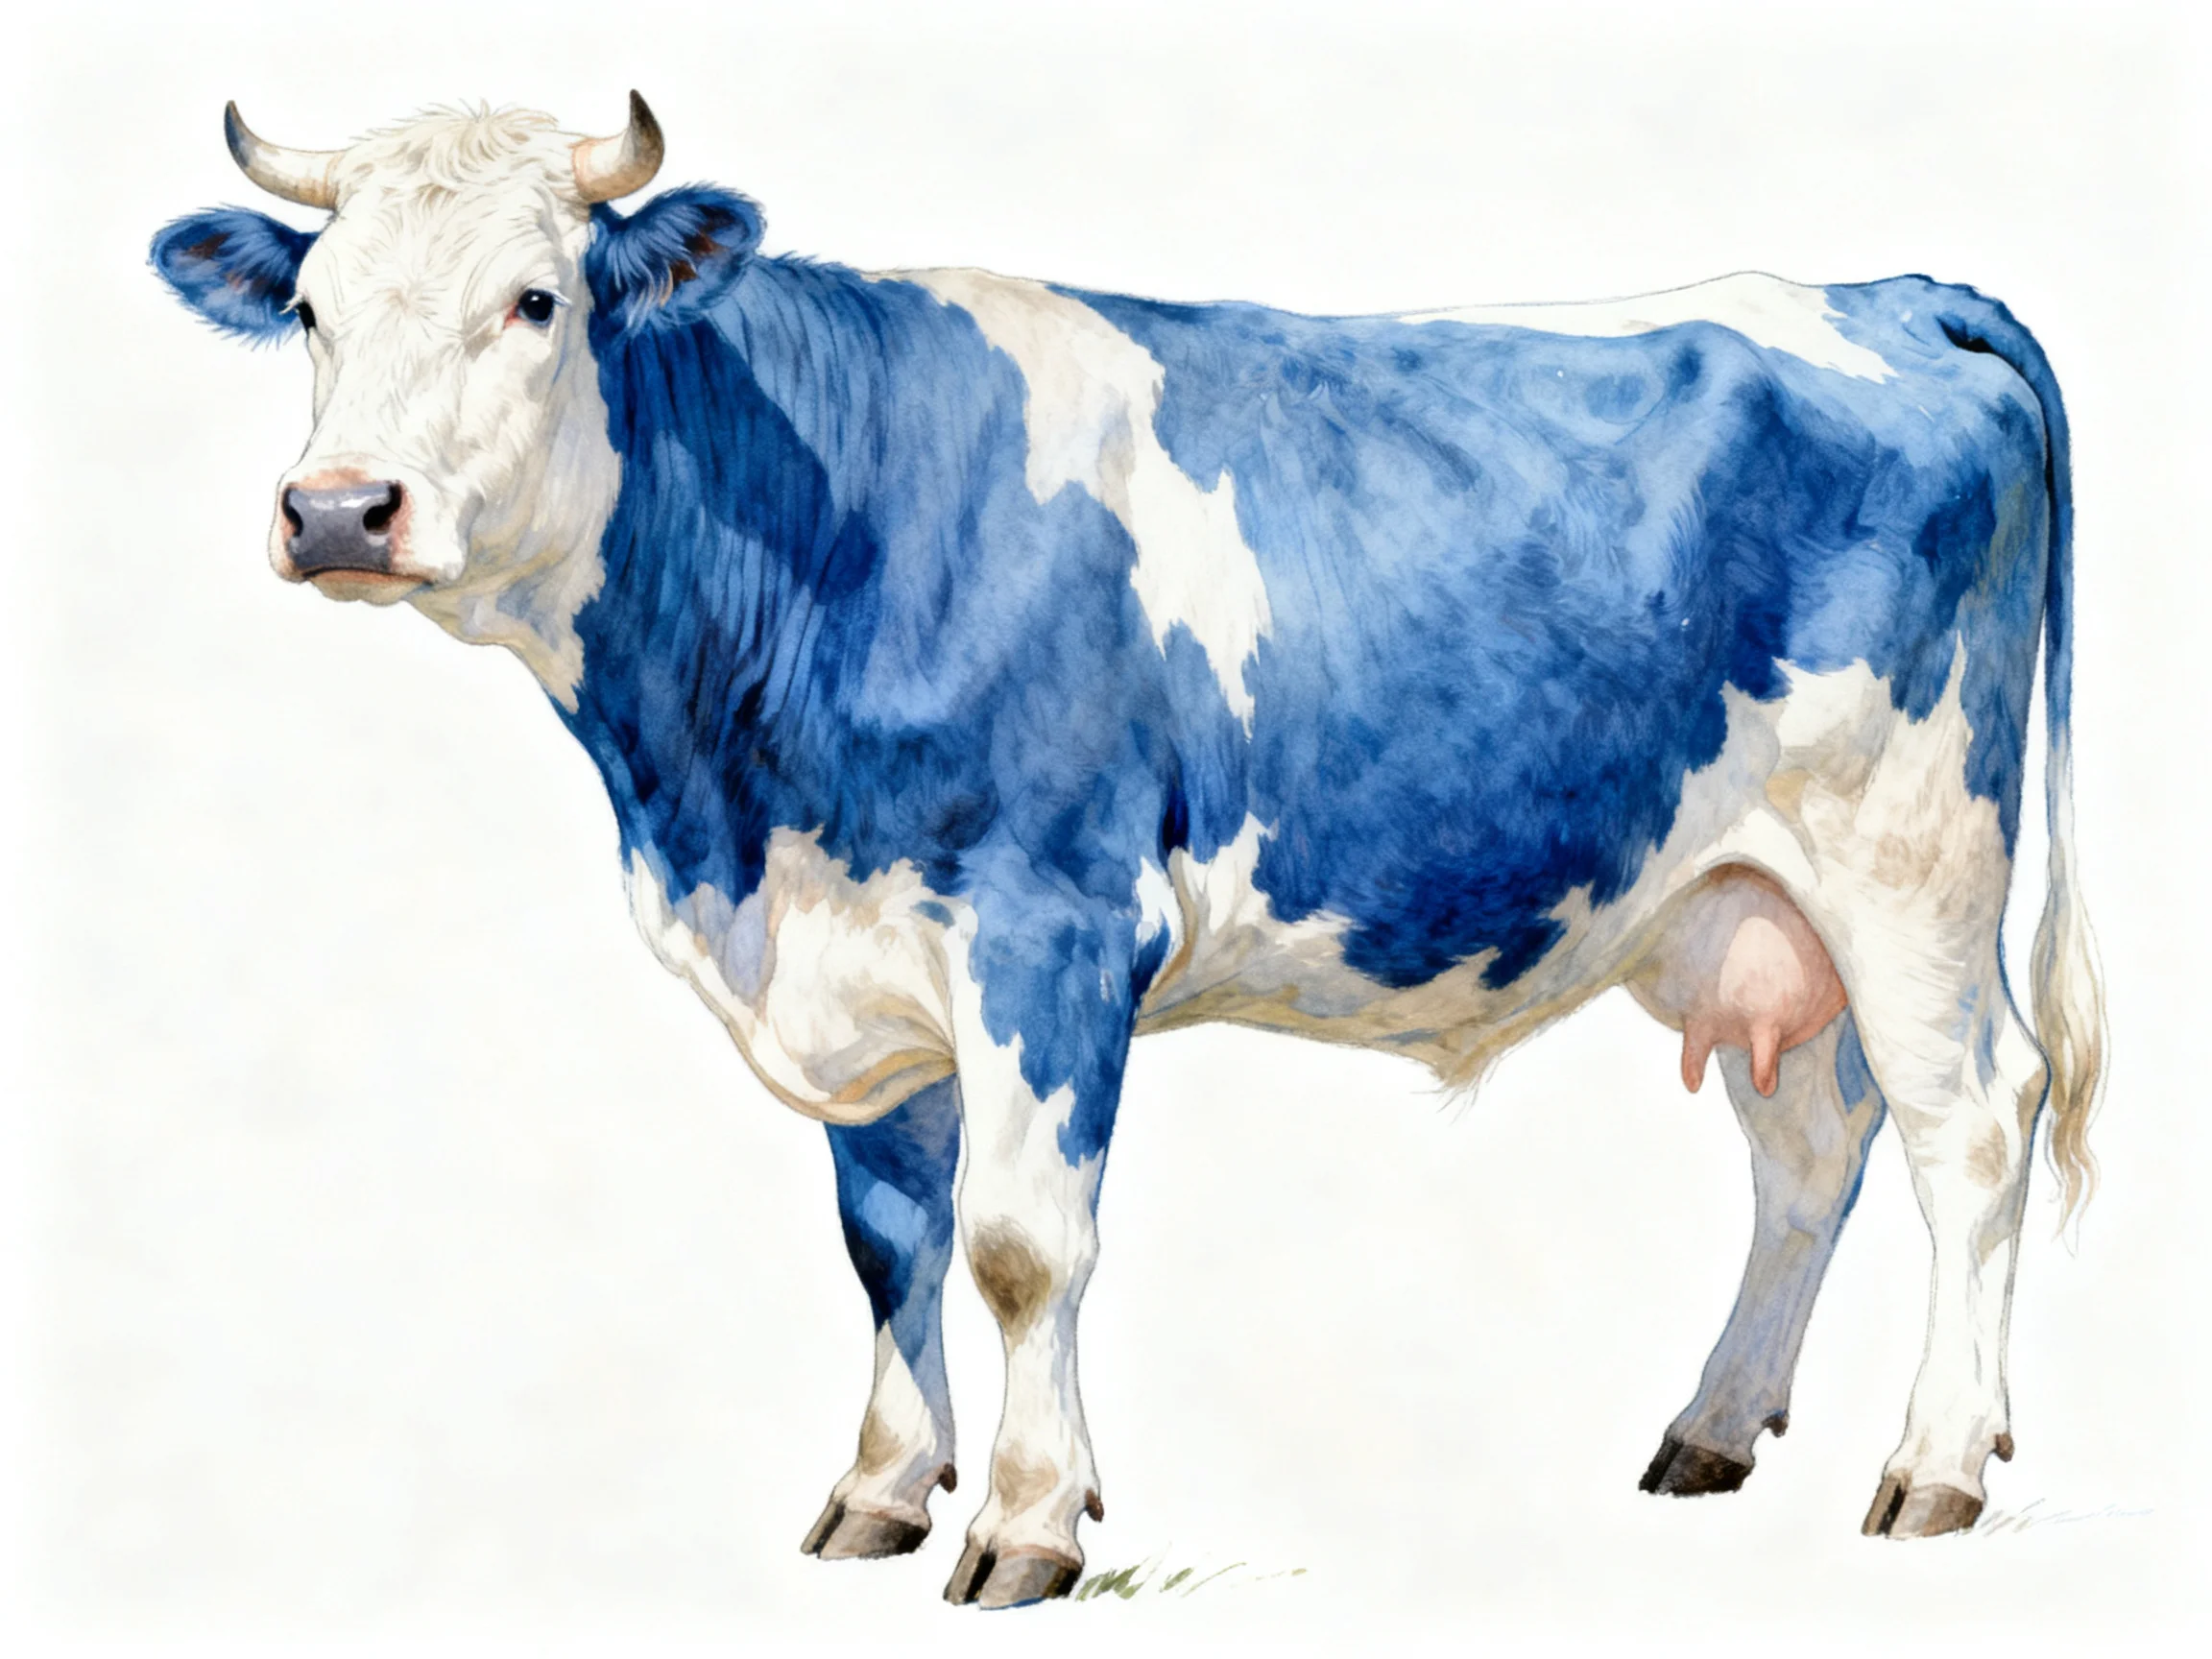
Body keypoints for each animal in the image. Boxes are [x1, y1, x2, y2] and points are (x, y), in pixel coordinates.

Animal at [152, 94, 2104, 1607]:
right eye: (312, 307)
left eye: (536, 299)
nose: (338, 510)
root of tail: (1880, 293)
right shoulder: (857, 953)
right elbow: (887, 1238)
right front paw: (880, 1493)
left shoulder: (1046, 920)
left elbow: (1021, 1239)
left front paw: (1025, 1526)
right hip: (1735, 899)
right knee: (1811, 1140)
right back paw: (1708, 1430)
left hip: (1913, 853)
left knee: (1968, 1121)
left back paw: (1935, 1466)